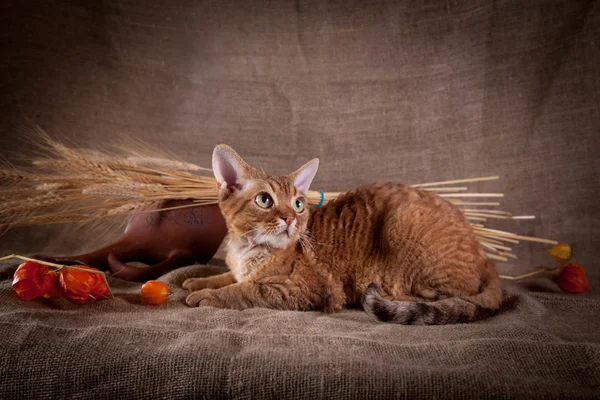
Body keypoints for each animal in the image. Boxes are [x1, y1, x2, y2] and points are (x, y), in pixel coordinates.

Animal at [183, 145, 502, 324]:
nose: (290, 219)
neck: (247, 250)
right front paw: (199, 281)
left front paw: (209, 295)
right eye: (265, 200)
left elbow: (247, 289)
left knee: (447, 297)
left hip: (402, 221)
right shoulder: (238, 268)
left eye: (298, 204)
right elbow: (230, 277)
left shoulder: (304, 290)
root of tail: (487, 258)